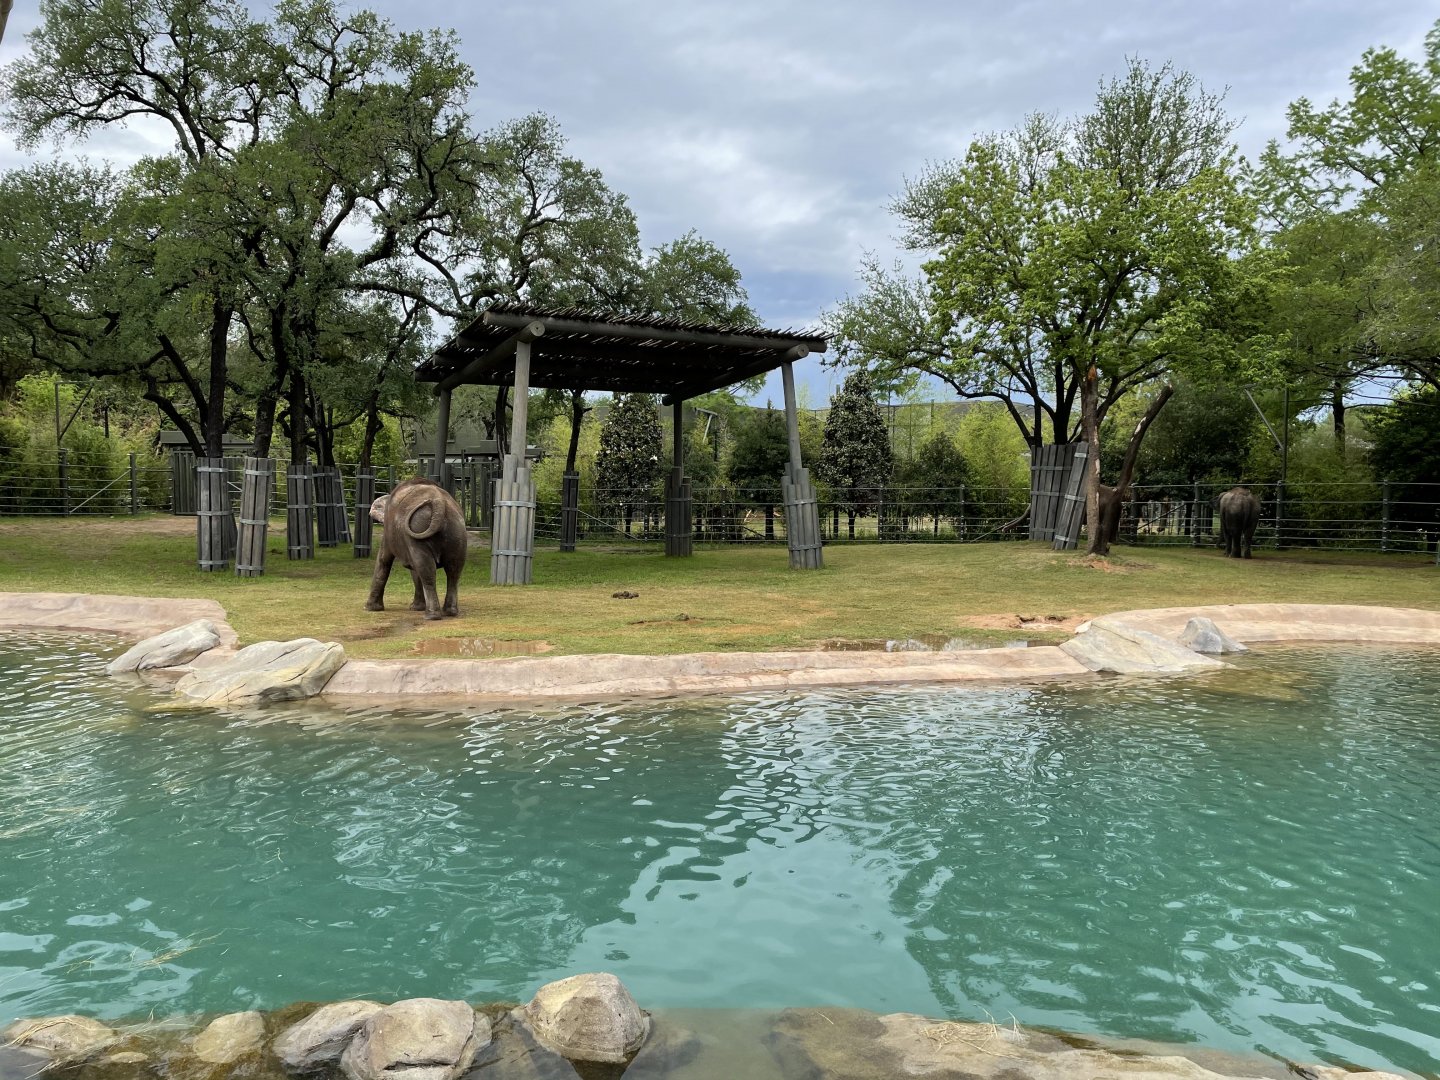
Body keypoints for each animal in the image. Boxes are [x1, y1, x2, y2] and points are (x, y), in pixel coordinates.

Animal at [364, 478, 467, 619]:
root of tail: (439, 503)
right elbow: (414, 570)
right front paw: (416, 608)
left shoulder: (388, 532)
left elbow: (383, 561)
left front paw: (370, 608)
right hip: (457, 532)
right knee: (454, 571)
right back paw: (450, 612)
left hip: (419, 527)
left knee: (427, 570)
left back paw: (431, 616)